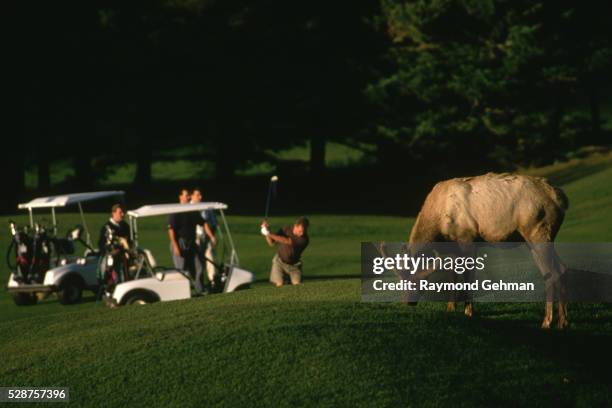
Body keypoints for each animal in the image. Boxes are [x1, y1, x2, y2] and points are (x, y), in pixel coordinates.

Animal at [406, 172, 568, 328]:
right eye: (402, 281)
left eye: (417, 282)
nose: (408, 302)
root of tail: (561, 200)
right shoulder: (453, 247)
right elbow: (453, 276)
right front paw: (451, 308)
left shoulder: (467, 239)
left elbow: (468, 277)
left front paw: (468, 312)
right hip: (538, 239)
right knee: (561, 269)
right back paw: (562, 322)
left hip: (538, 230)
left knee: (553, 273)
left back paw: (547, 321)